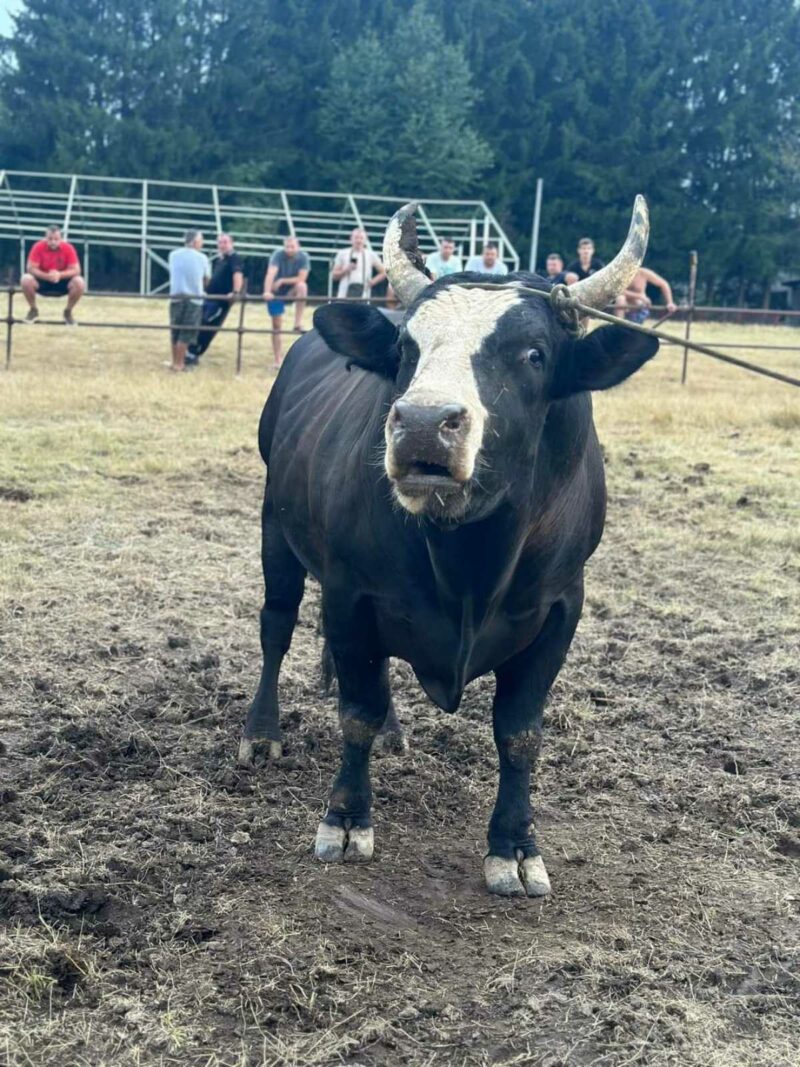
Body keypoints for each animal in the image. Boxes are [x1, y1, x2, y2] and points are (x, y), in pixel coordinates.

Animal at [240, 271, 657, 896]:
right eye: (405, 350)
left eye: (534, 354)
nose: (419, 424)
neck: (469, 565)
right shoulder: (349, 595)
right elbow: (356, 712)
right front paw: (346, 820)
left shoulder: (560, 610)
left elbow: (520, 734)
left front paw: (514, 847)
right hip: (275, 528)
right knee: (277, 626)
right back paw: (262, 730)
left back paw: (394, 731)